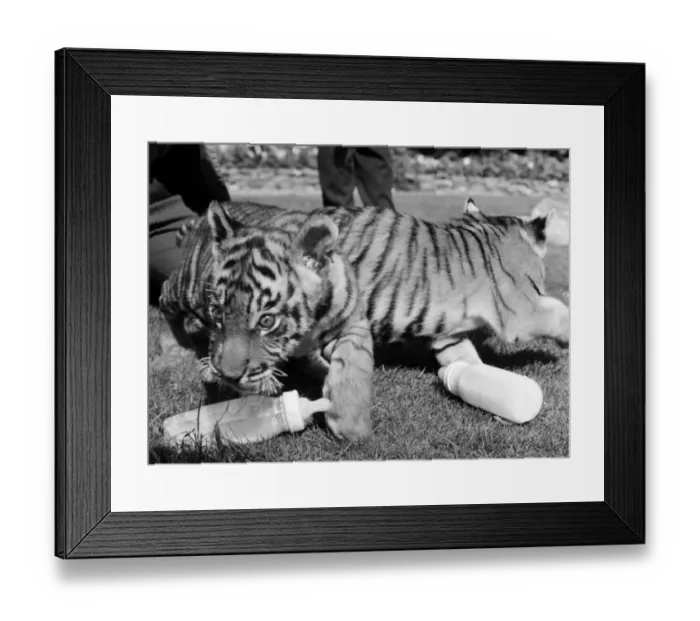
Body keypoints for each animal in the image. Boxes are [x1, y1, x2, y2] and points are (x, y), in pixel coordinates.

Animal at [158, 201, 374, 440]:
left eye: (267, 321)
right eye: (217, 313)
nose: (229, 377)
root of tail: (201, 220)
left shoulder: (353, 319)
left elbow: (352, 358)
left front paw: (350, 421)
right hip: (187, 288)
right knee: (164, 296)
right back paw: (176, 351)